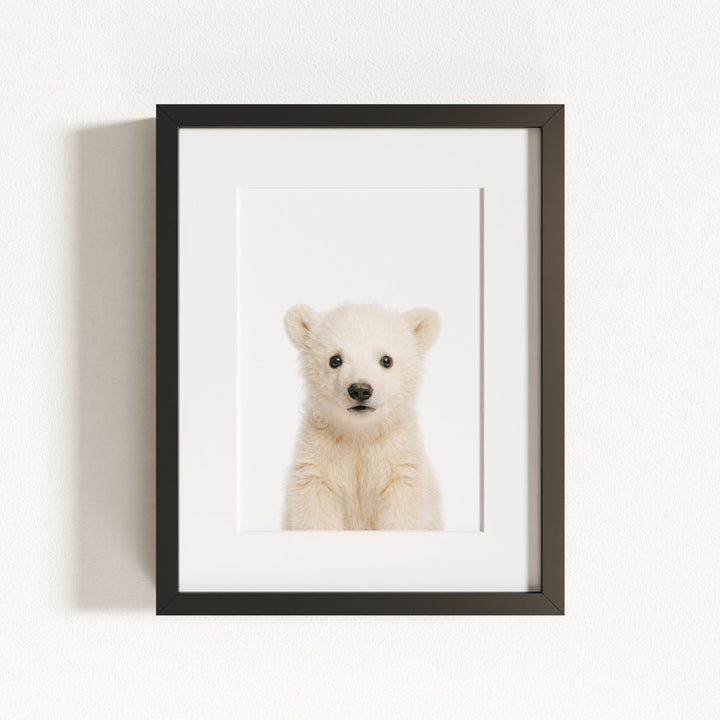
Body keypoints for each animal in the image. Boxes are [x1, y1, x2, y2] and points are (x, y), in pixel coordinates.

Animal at [282, 302, 443, 531]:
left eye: (386, 360)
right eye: (335, 359)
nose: (360, 390)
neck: (360, 434)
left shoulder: (399, 463)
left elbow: (403, 513)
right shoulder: (318, 459)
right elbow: (316, 509)